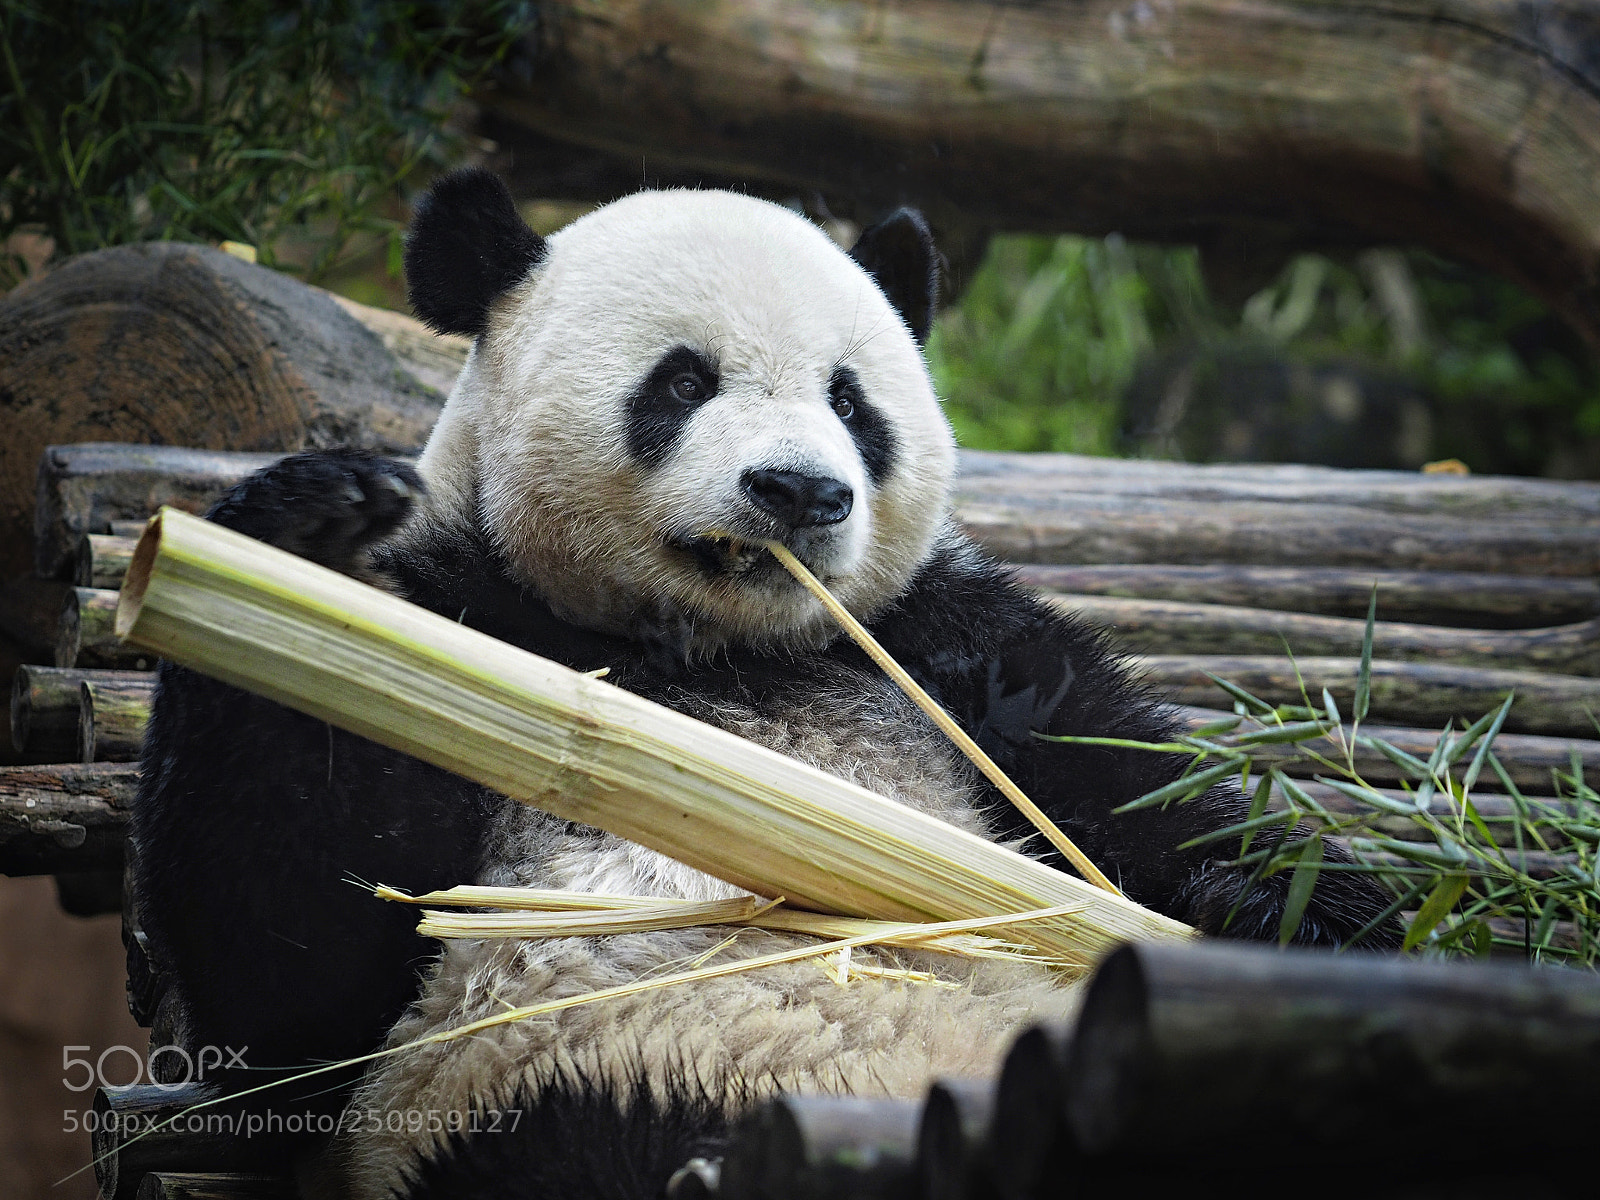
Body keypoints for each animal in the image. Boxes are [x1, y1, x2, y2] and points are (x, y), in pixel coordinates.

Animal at [131, 169, 1398, 1200]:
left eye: (850, 402)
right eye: (681, 381)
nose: (798, 492)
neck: (721, 653)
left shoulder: (944, 654)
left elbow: (1156, 811)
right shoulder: (475, 629)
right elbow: (296, 997)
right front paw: (308, 540)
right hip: (580, 1093)